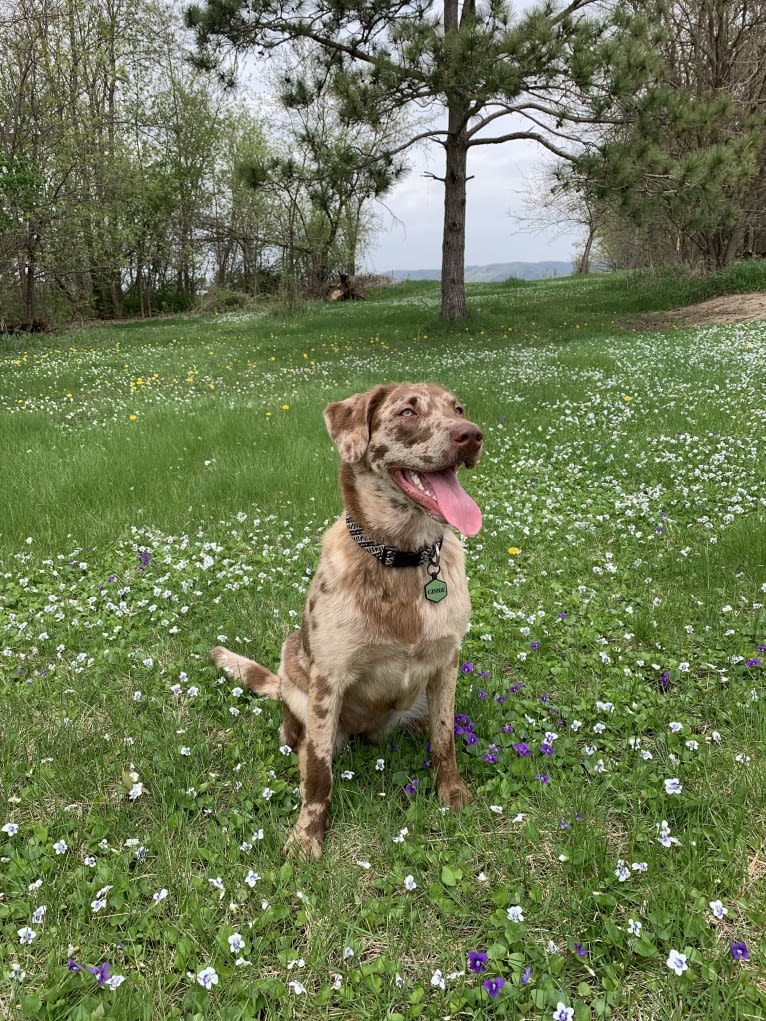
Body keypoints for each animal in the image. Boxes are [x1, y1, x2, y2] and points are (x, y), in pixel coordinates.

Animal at [213, 385, 482, 857]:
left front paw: (452, 793)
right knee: (300, 743)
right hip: (295, 671)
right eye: (408, 411)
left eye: (458, 409)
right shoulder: (329, 681)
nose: (473, 435)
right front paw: (307, 836)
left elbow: (444, 740)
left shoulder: (446, 663)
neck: (404, 560)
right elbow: (319, 775)